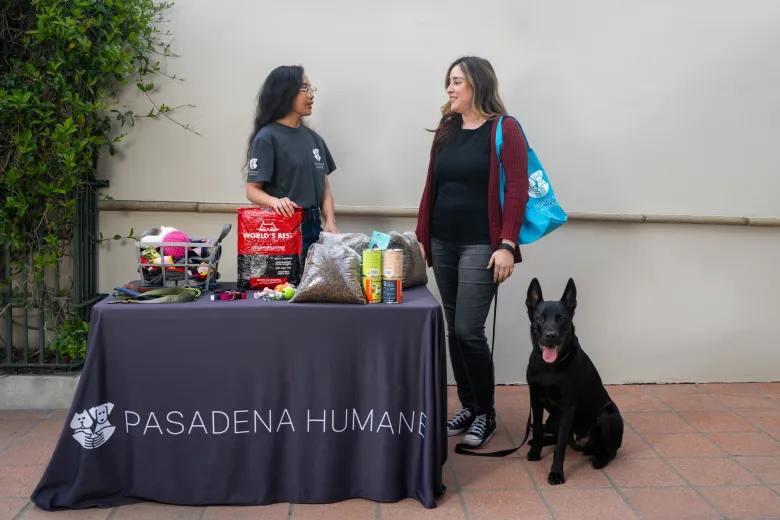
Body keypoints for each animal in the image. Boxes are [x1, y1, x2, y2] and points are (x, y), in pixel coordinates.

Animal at [524, 278, 628, 486]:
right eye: (540, 318)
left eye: (562, 319)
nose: (550, 336)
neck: (550, 367)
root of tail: (584, 442)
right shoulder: (536, 401)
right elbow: (538, 429)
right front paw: (535, 450)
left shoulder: (567, 408)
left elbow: (560, 448)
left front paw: (556, 473)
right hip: (553, 419)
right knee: (555, 434)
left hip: (609, 417)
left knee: (610, 450)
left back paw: (600, 459)